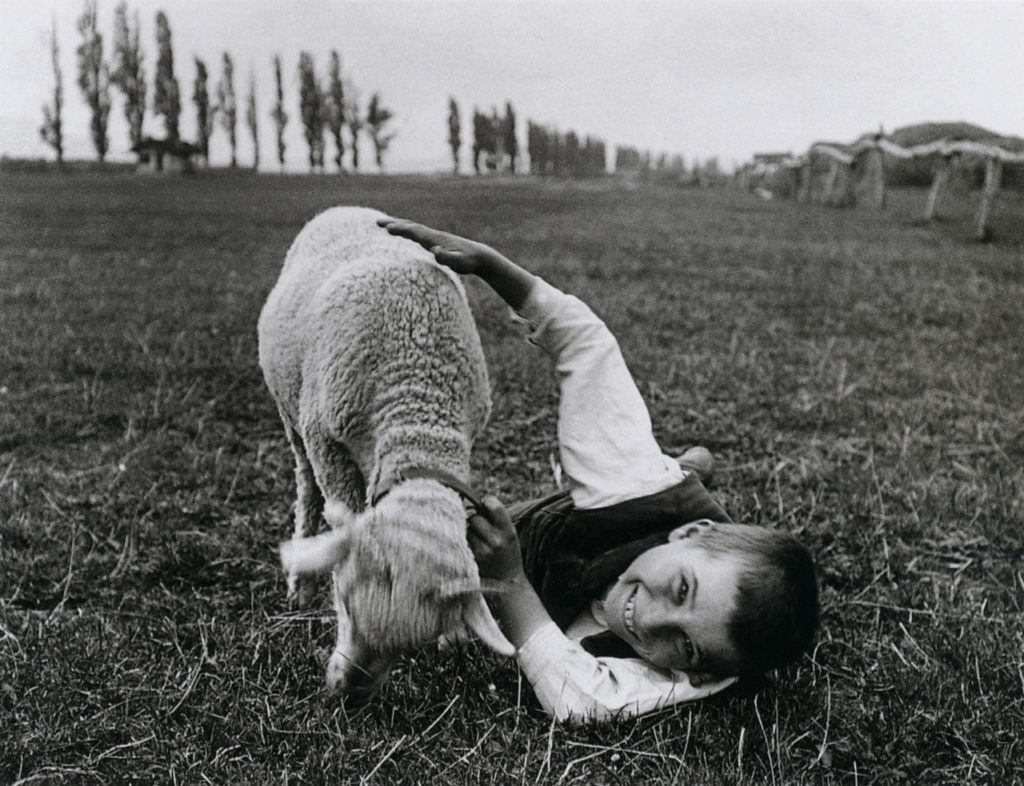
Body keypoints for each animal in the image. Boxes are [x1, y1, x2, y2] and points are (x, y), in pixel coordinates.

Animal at [256, 205, 512, 695]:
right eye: (344, 602)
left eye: (409, 645)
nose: (348, 697)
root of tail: (345, 207)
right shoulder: (327, 441)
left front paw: (454, 635)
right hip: (291, 413)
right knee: (305, 486)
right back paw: (299, 582)